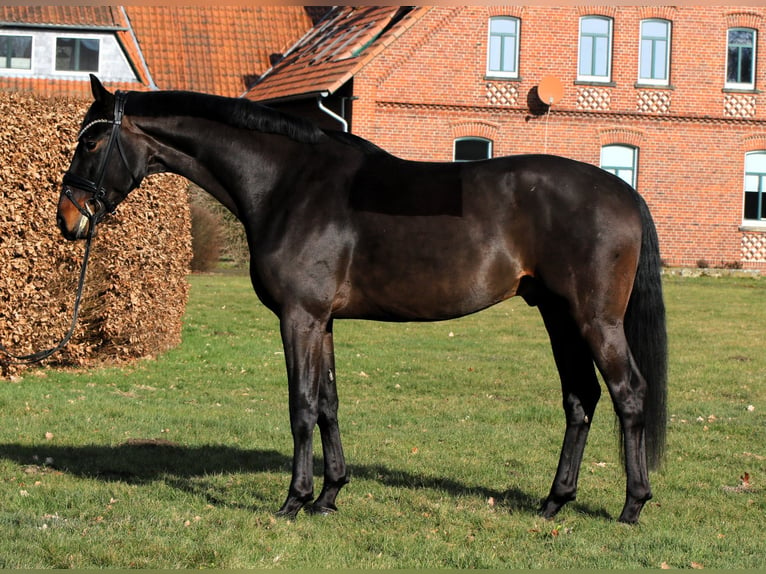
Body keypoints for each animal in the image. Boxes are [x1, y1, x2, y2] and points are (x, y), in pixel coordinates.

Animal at [58, 76, 664, 528]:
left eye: (90, 142)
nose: (68, 219)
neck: (288, 184)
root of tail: (623, 190)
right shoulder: (322, 321)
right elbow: (328, 403)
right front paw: (330, 496)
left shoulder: (299, 318)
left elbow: (301, 405)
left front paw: (294, 500)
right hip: (559, 316)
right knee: (581, 399)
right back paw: (554, 501)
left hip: (594, 319)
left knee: (629, 394)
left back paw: (632, 505)